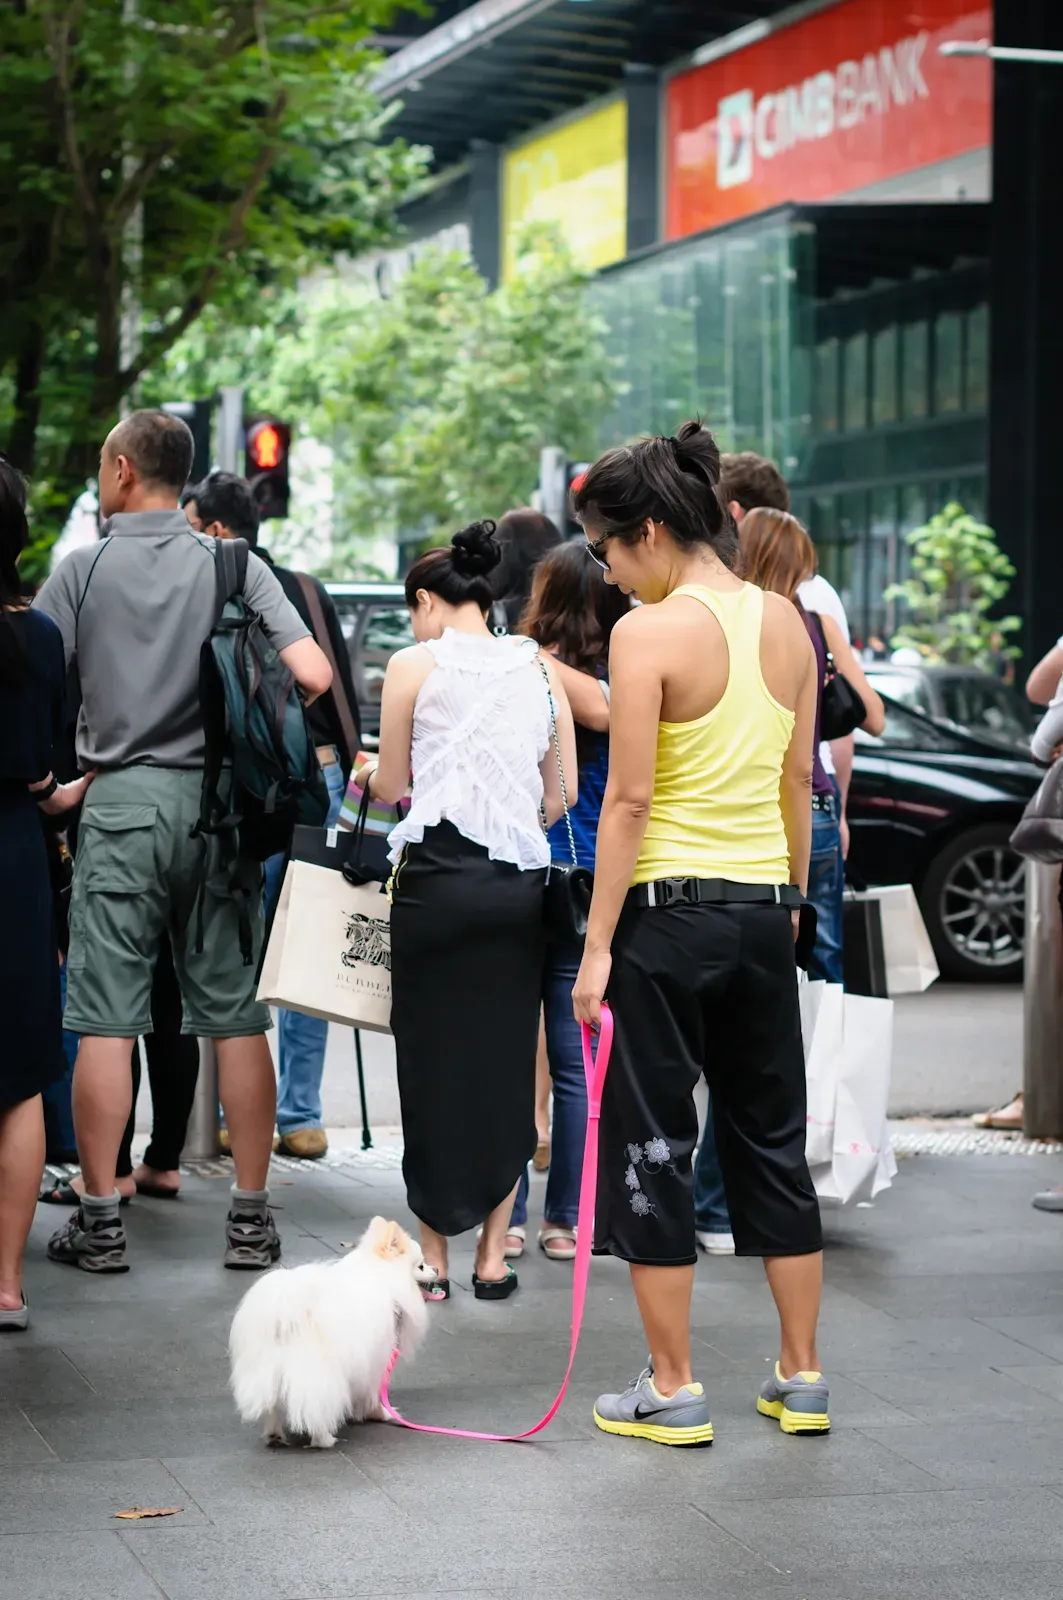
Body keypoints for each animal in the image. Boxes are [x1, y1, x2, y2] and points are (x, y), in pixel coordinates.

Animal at [230, 1216, 435, 1446]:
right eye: (421, 1265)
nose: (436, 1270)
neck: (380, 1273)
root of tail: (284, 1313)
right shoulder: (376, 1359)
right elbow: (373, 1393)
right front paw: (381, 1413)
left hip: (268, 1371)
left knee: (271, 1406)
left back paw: (274, 1435)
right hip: (319, 1373)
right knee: (315, 1408)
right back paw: (324, 1439)